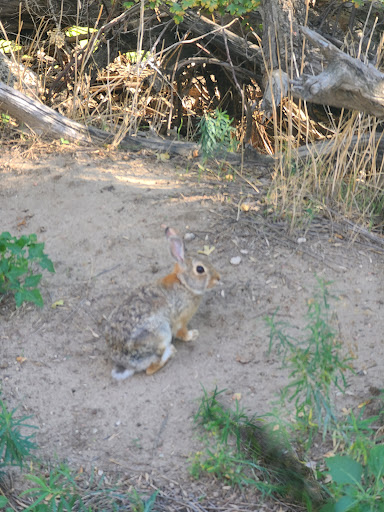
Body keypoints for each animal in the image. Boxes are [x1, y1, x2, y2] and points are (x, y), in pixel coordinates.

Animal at [104, 226, 219, 378]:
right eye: (200, 269)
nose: (218, 278)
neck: (183, 283)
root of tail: (126, 364)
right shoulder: (180, 320)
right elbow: (182, 332)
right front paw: (192, 335)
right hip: (161, 333)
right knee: (151, 368)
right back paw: (171, 352)